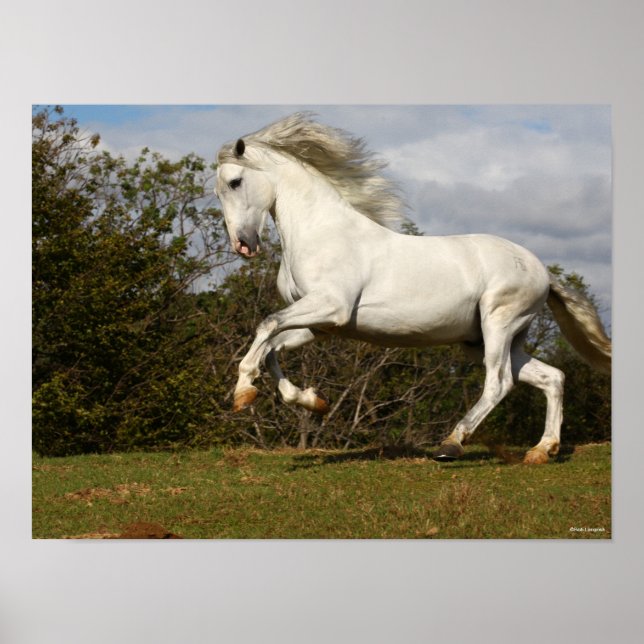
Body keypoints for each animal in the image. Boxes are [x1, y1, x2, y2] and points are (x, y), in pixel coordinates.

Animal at [214, 112, 611, 464]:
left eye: (235, 182)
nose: (243, 245)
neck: (322, 231)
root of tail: (542, 271)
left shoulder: (330, 305)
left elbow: (266, 325)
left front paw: (242, 391)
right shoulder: (320, 325)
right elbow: (272, 349)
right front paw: (312, 400)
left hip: (498, 324)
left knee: (499, 383)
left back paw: (452, 444)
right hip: (488, 340)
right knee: (552, 378)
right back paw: (542, 451)